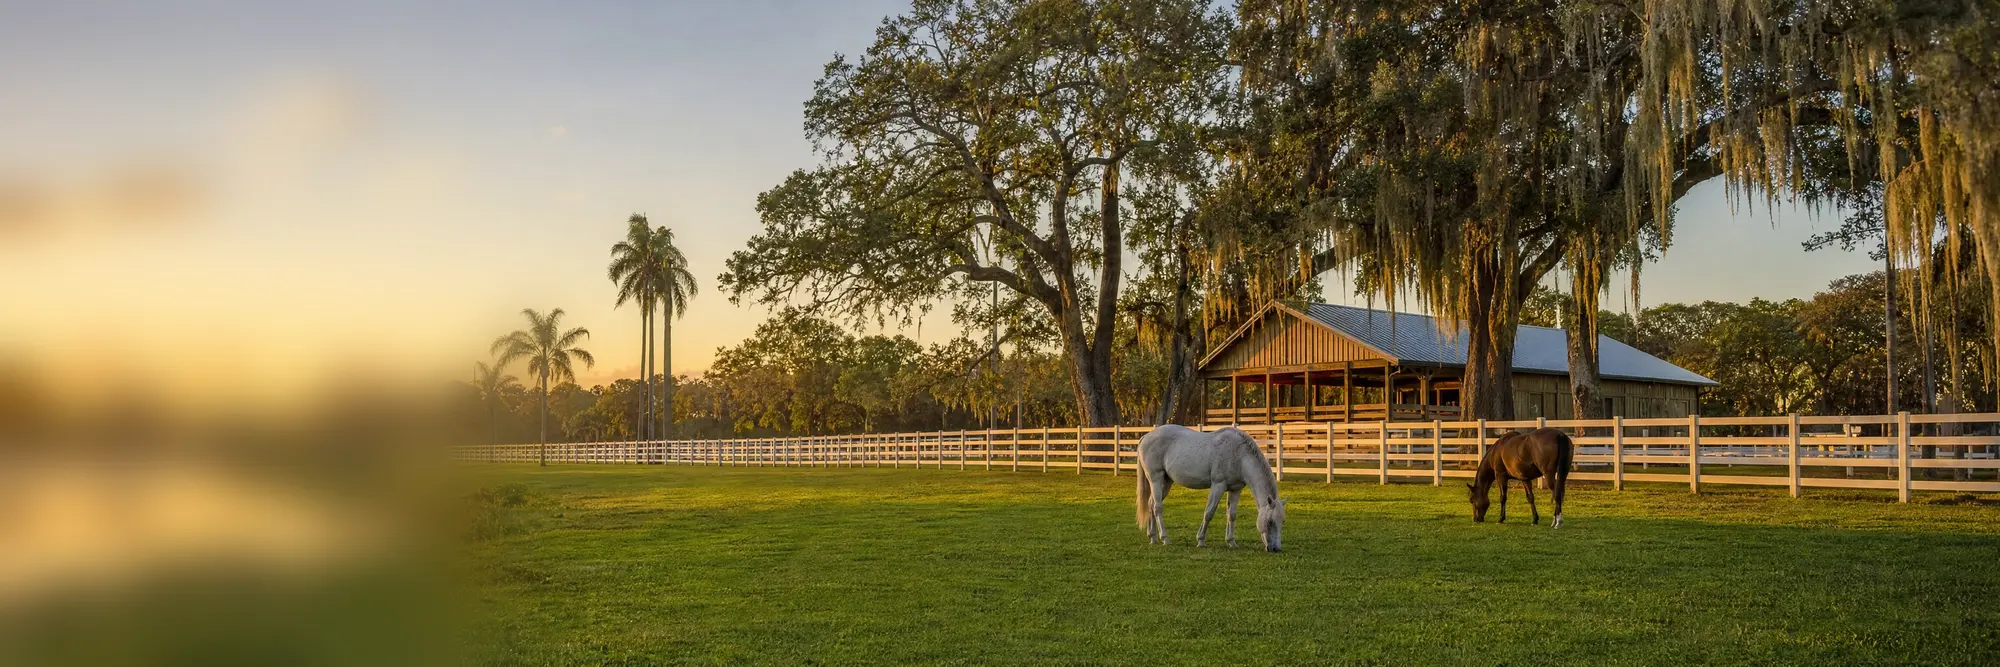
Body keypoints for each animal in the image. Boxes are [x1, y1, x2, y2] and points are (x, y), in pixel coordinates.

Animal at [1136, 424, 1286, 551]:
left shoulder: (1235, 489)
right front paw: (1201, 540)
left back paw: (1153, 537)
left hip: (1166, 482)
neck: (1240, 456)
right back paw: (1164, 538)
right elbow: (1209, 513)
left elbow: (1232, 514)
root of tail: (1146, 436)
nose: (1276, 549)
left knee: (1150, 504)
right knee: (1157, 507)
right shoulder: (1218, 485)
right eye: (1270, 521)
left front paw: (1231, 542)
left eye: (1282, 521)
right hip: (1156, 479)